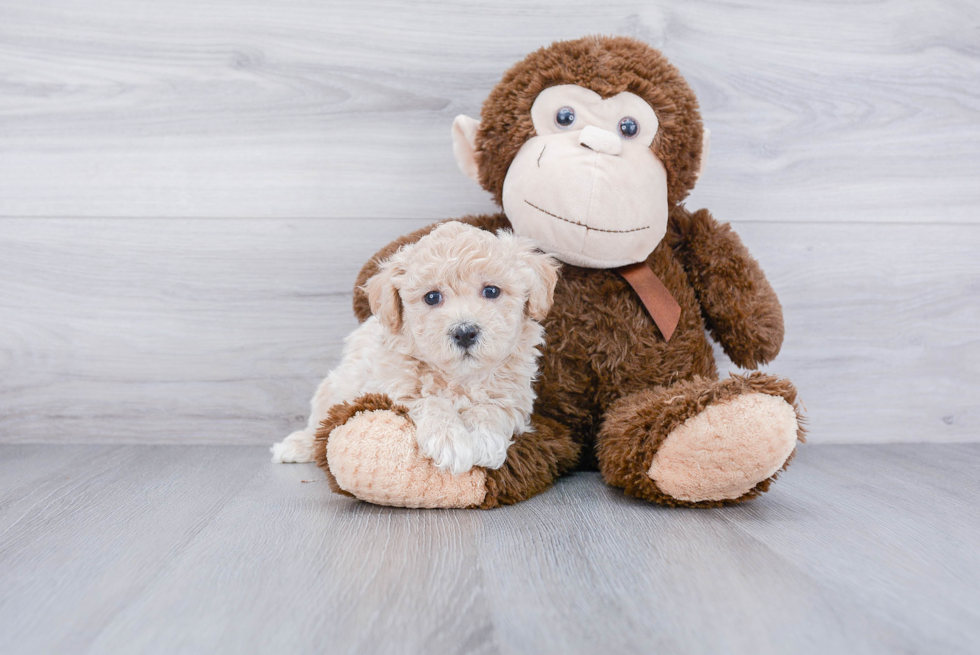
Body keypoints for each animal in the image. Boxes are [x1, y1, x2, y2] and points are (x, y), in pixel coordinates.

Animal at [270, 223, 560, 474]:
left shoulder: (516, 395)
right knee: (319, 425)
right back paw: (296, 445)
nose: (465, 332)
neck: (459, 379)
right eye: (432, 297)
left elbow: (493, 407)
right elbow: (428, 400)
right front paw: (450, 441)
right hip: (333, 388)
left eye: (491, 291)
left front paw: (485, 439)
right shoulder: (391, 387)